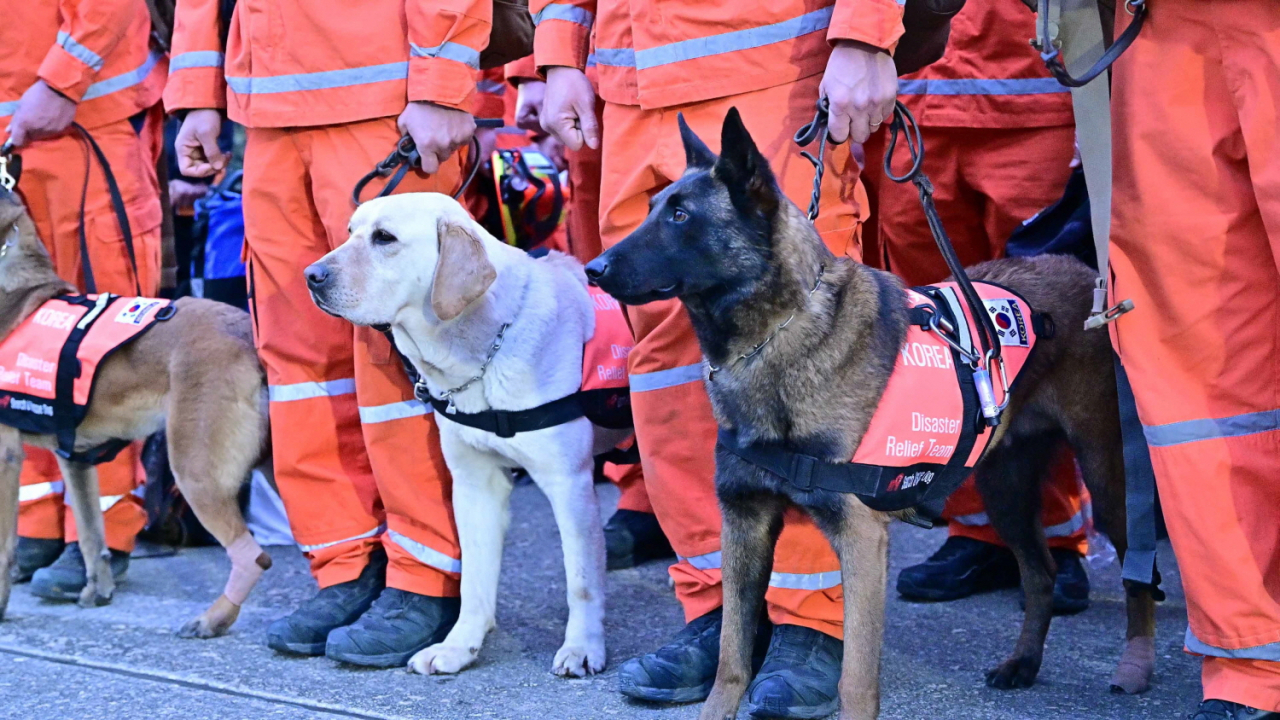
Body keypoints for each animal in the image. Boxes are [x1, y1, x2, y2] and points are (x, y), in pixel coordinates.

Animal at [0, 189, 270, 632]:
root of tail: (248, 332)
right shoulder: (74, 458)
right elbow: (91, 534)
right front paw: (98, 590)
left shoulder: (6, 456)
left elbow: (5, 546)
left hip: (196, 472)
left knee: (252, 556)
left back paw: (213, 619)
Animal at [588, 107, 1162, 717]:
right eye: (654, 208)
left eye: (681, 216)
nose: (593, 268)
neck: (775, 337)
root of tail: (1081, 273)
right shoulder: (743, 525)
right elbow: (731, 660)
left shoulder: (860, 539)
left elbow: (855, 679)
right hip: (1003, 489)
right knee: (1040, 573)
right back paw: (1023, 663)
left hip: (1107, 479)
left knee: (1137, 570)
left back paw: (1136, 663)